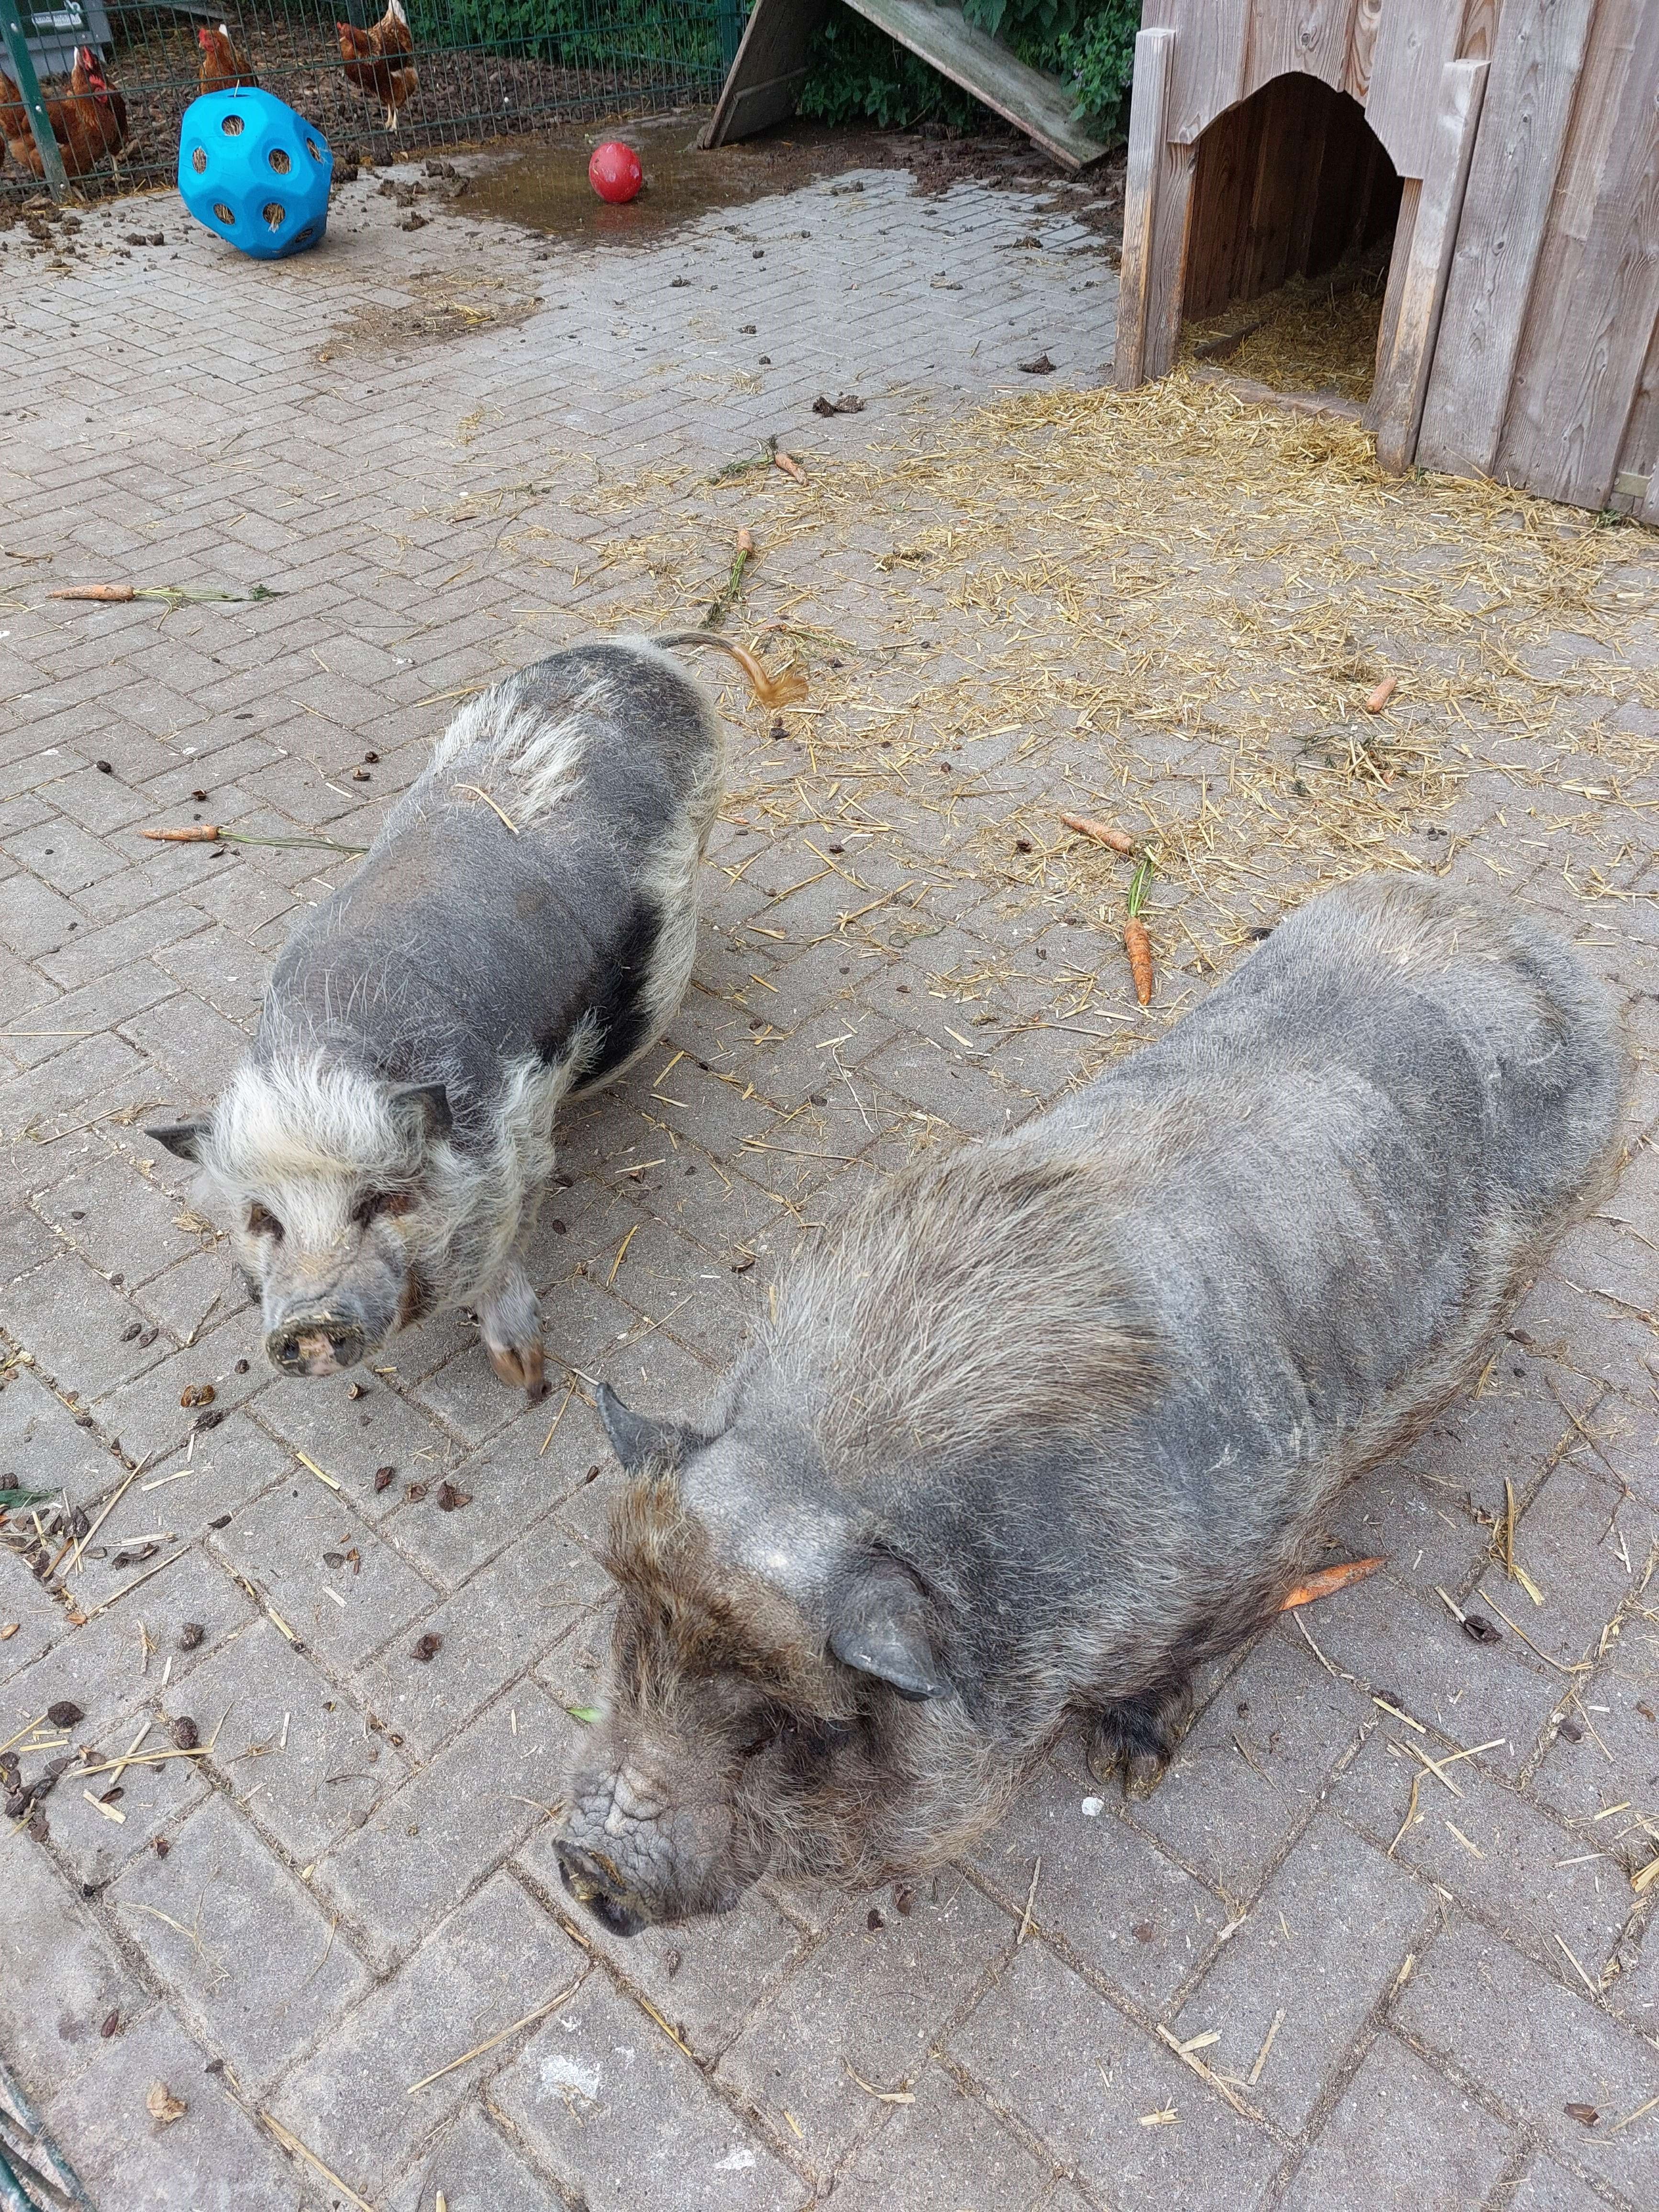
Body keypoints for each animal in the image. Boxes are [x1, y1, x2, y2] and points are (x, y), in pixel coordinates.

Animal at [146, 637, 796, 1398]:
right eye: (262, 1217)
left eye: (381, 1201)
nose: (307, 1325)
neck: (330, 1056)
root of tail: (641, 646)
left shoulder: (523, 1136)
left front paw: (524, 1375)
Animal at [555, 871, 1628, 1929]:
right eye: (630, 1636)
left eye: (778, 1727)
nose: (586, 1864)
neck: (821, 1469)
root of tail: (1527, 934)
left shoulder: (1249, 1554)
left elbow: (1178, 1667)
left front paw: (1126, 1769)